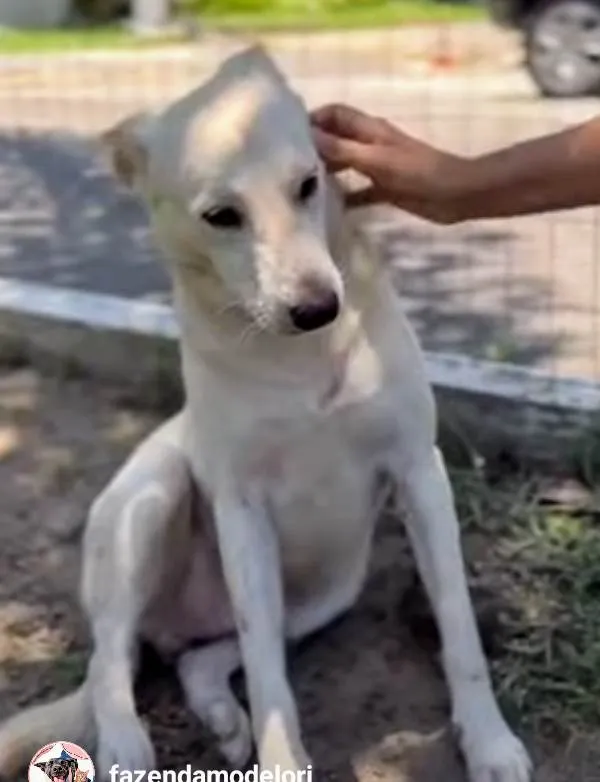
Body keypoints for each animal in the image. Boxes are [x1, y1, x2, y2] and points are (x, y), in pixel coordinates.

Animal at [0, 49, 532, 782]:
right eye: (222, 215)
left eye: (308, 184)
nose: (317, 308)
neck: (304, 357)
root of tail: (172, 625)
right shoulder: (241, 506)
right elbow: (267, 678)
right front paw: (282, 761)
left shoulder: (420, 472)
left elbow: (458, 627)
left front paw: (487, 741)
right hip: (151, 498)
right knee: (112, 659)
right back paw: (125, 745)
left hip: (326, 595)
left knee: (199, 659)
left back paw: (222, 716)